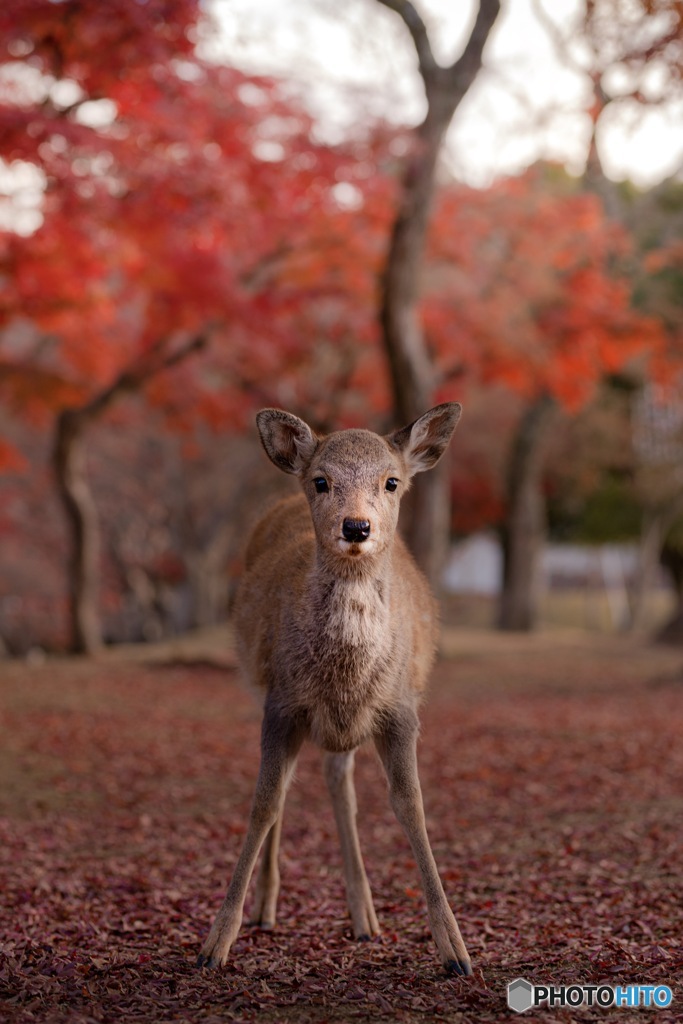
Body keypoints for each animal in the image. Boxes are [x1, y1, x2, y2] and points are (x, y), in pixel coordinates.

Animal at [197, 399, 473, 974]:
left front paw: (455, 950)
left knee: (338, 780)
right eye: (322, 481)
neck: (345, 673)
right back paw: (268, 908)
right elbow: (264, 803)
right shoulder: (281, 703)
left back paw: (364, 917)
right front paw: (215, 943)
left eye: (392, 481)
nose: (357, 526)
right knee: (296, 786)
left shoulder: (400, 708)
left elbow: (411, 804)